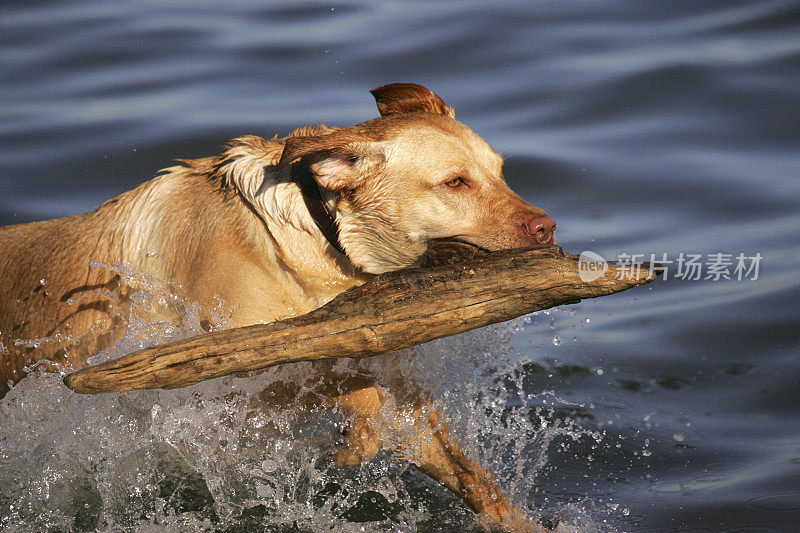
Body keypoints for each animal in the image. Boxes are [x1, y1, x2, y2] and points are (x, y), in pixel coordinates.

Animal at [0, 82, 556, 528]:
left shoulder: (405, 403)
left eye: (501, 173)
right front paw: (350, 443)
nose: (547, 227)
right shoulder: (226, 382)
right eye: (455, 182)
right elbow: (349, 387)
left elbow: (478, 483)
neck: (319, 238)